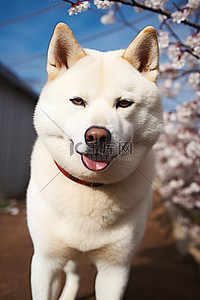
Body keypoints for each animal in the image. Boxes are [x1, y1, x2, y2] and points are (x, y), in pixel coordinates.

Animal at [26, 23, 163, 300]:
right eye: (78, 101)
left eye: (124, 103)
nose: (97, 137)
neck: (89, 187)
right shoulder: (46, 262)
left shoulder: (115, 269)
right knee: (75, 273)